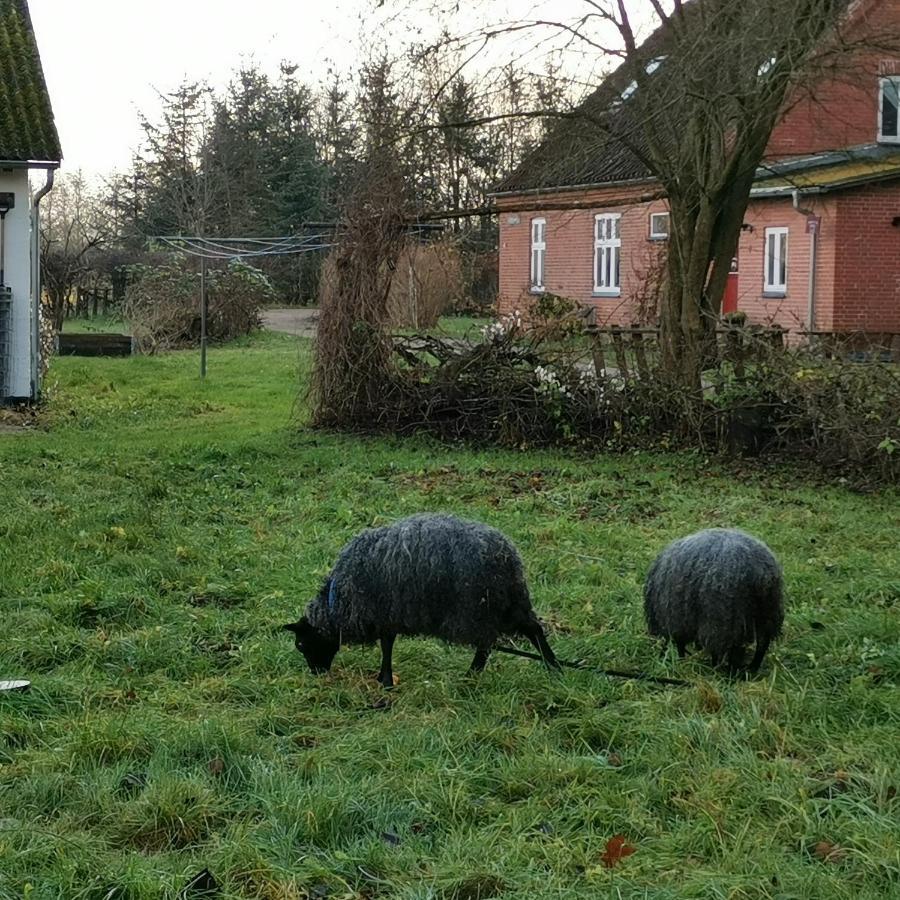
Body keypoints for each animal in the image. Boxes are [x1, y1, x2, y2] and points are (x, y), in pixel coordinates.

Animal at [284, 512, 560, 684]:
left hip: (479, 609)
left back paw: (472, 675)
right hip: (509, 603)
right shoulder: (389, 615)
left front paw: (385, 681)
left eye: (301, 644)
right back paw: (554, 667)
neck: (337, 603)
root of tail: (506, 555)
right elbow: (388, 644)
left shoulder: (386, 613)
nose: (316, 673)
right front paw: (384, 678)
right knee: (532, 630)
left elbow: (387, 646)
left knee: (487, 644)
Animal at [644, 528, 784, 676]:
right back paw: (751, 669)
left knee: (729, 647)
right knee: (762, 643)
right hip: (768, 611)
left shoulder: (677, 620)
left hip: (722, 619)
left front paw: (681, 662)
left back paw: (721, 671)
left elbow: (680, 645)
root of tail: (759, 572)